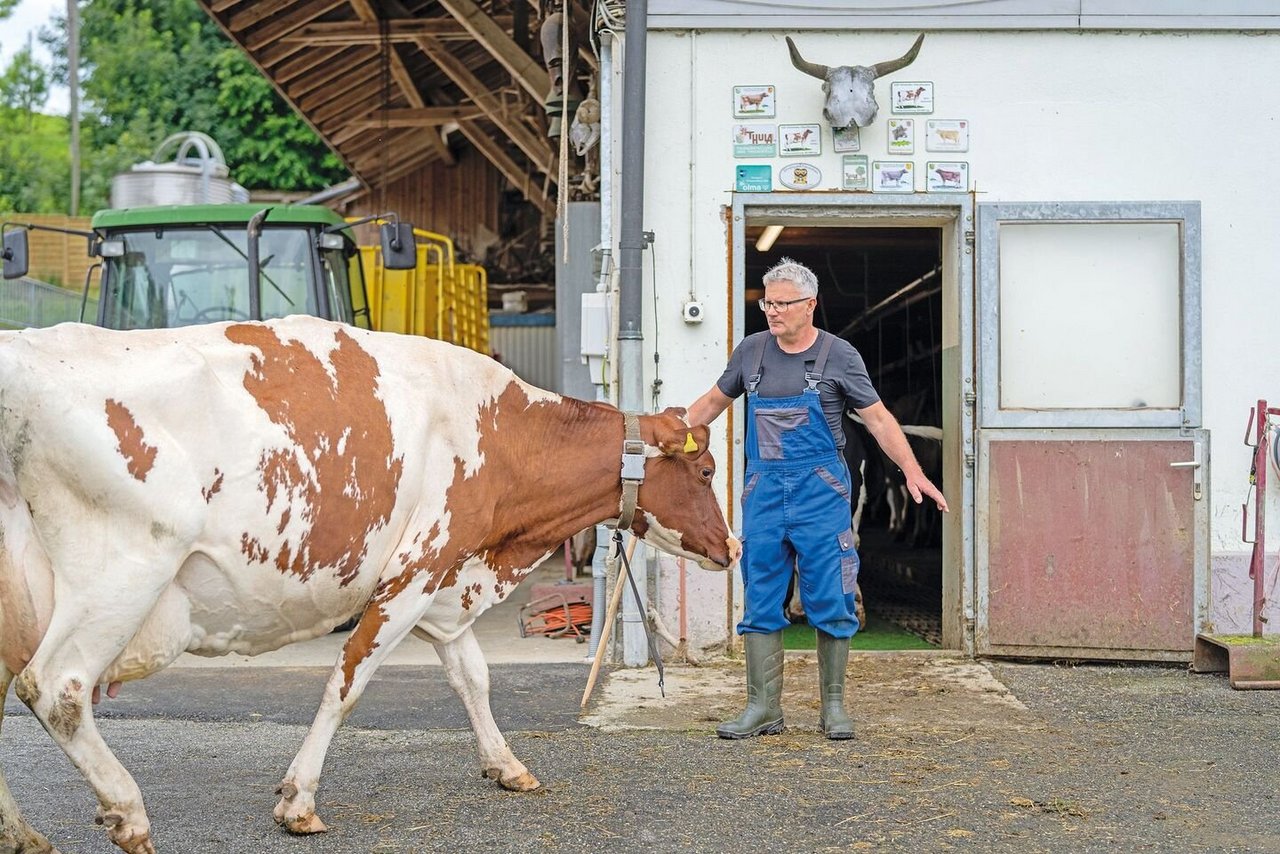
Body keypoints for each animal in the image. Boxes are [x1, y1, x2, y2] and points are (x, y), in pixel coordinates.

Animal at [0, 316, 742, 854]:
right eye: (706, 473)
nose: (731, 548)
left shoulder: (447, 583)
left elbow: (473, 677)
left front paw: (507, 765)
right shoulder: (416, 572)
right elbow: (349, 680)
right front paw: (298, 801)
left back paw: (24, 835)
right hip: (124, 569)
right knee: (57, 687)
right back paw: (128, 812)